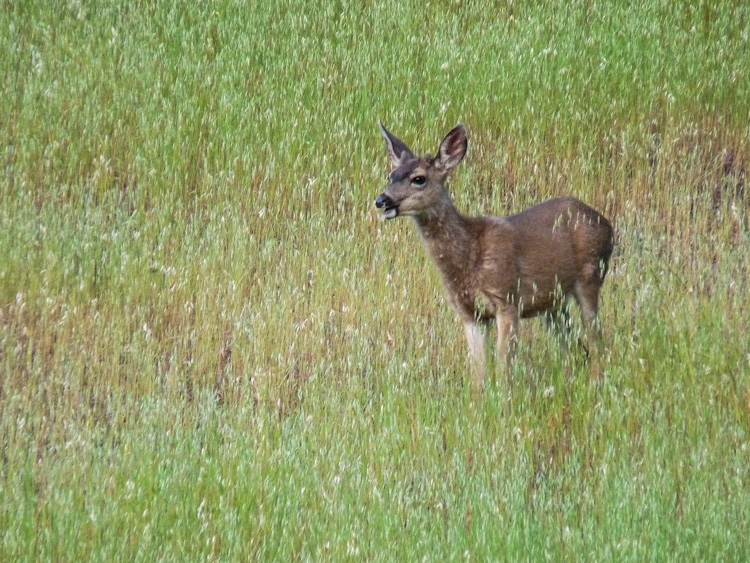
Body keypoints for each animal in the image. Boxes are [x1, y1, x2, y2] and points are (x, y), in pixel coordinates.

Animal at [376, 121, 616, 390]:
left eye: (419, 179)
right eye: (390, 176)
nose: (382, 200)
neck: (469, 257)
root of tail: (606, 224)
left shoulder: (507, 299)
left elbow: (503, 370)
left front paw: (504, 399)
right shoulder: (469, 314)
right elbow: (478, 375)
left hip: (590, 274)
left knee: (596, 343)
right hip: (552, 303)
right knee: (574, 348)